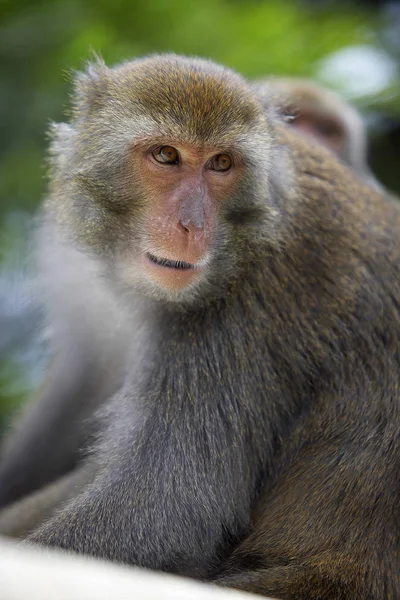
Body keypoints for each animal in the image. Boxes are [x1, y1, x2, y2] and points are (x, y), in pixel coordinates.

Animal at [0, 56, 400, 600]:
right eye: (166, 155)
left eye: (221, 164)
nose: (192, 225)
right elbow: (76, 389)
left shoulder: (247, 299)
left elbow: (168, 506)